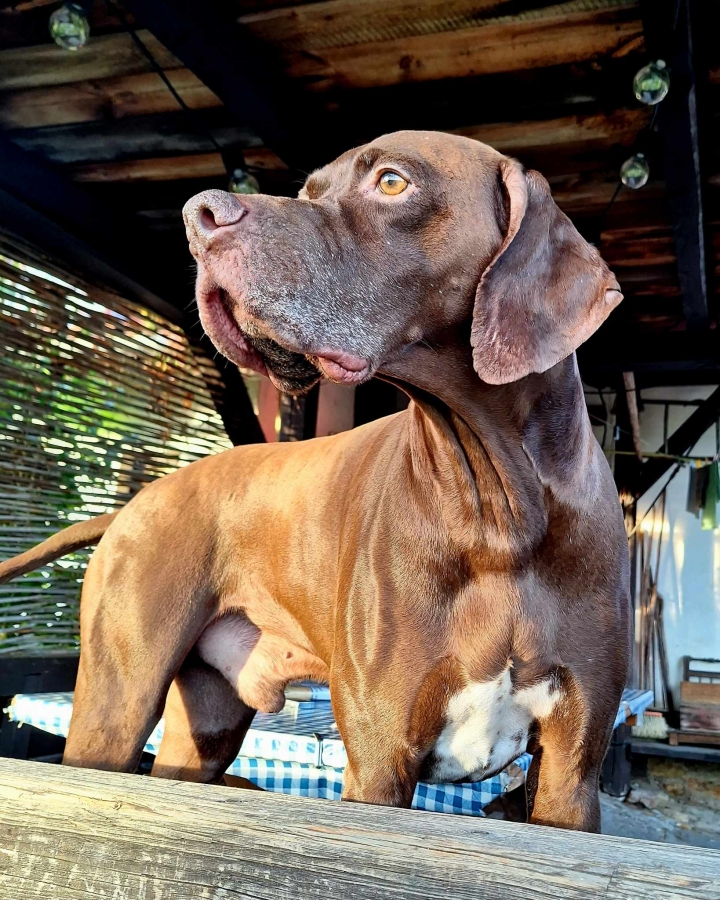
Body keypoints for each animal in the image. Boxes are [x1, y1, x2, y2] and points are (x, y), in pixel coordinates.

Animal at [0, 131, 630, 832]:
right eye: (308, 191)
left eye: (392, 182)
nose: (201, 216)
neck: (499, 515)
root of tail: (140, 498)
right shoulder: (381, 761)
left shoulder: (571, 775)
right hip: (115, 706)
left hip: (200, 731)